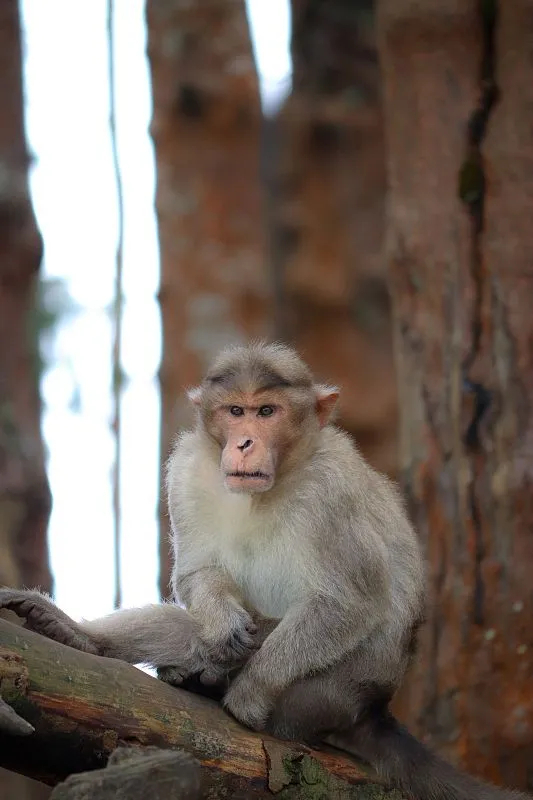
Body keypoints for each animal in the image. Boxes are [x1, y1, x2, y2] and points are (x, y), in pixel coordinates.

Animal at [1, 340, 528, 796]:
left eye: (267, 411)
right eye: (236, 411)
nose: (245, 443)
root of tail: (372, 710)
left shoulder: (331, 492)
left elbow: (350, 602)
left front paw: (251, 689)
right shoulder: (187, 467)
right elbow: (196, 573)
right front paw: (223, 624)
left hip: (326, 696)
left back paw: (219, 683)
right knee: (190, 629)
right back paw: (82, 636)